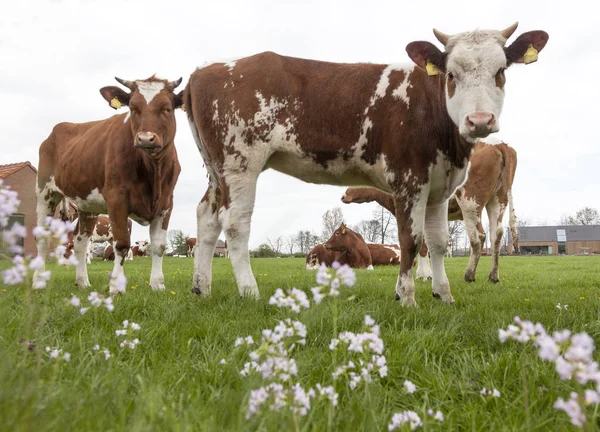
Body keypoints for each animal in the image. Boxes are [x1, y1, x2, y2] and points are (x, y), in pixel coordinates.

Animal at [32, 76, 182, 296]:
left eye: (167, 108)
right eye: (133, 108)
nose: (145, 138)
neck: (152, 170)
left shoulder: (166, 203)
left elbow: (159, 246)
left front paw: (158, 285)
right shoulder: (117, 199)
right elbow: (122, 244)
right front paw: (116, 286)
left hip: (87, 205)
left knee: (80, 243)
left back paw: (82, 281)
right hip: (46, 193)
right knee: (42, 239)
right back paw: (37, 282)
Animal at [342, 138, 520, 284]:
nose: (343, 195)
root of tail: (498, 143)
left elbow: (421, 245)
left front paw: (424, 275)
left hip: (470, 201)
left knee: (478, 236)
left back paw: (469, 275)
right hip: (497, 200)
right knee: (496, 235)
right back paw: (493, 276)